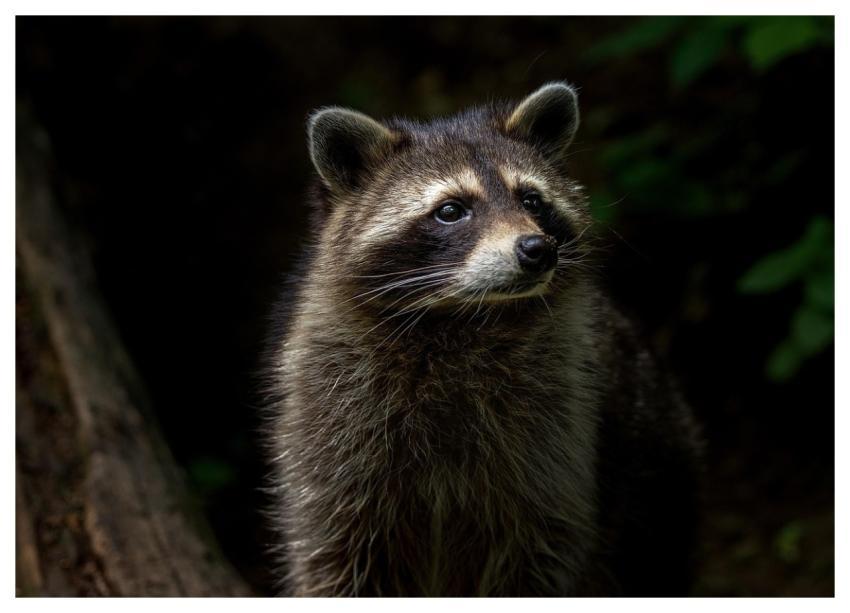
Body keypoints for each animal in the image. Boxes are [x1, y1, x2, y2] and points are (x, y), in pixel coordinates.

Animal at [265, 83, 702, 596]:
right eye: (451, 211)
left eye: (531, 201)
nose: (537, 250)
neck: (463, 318)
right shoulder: (329, 422)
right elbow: (336, 553)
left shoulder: (559, 426)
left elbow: (541, 549)